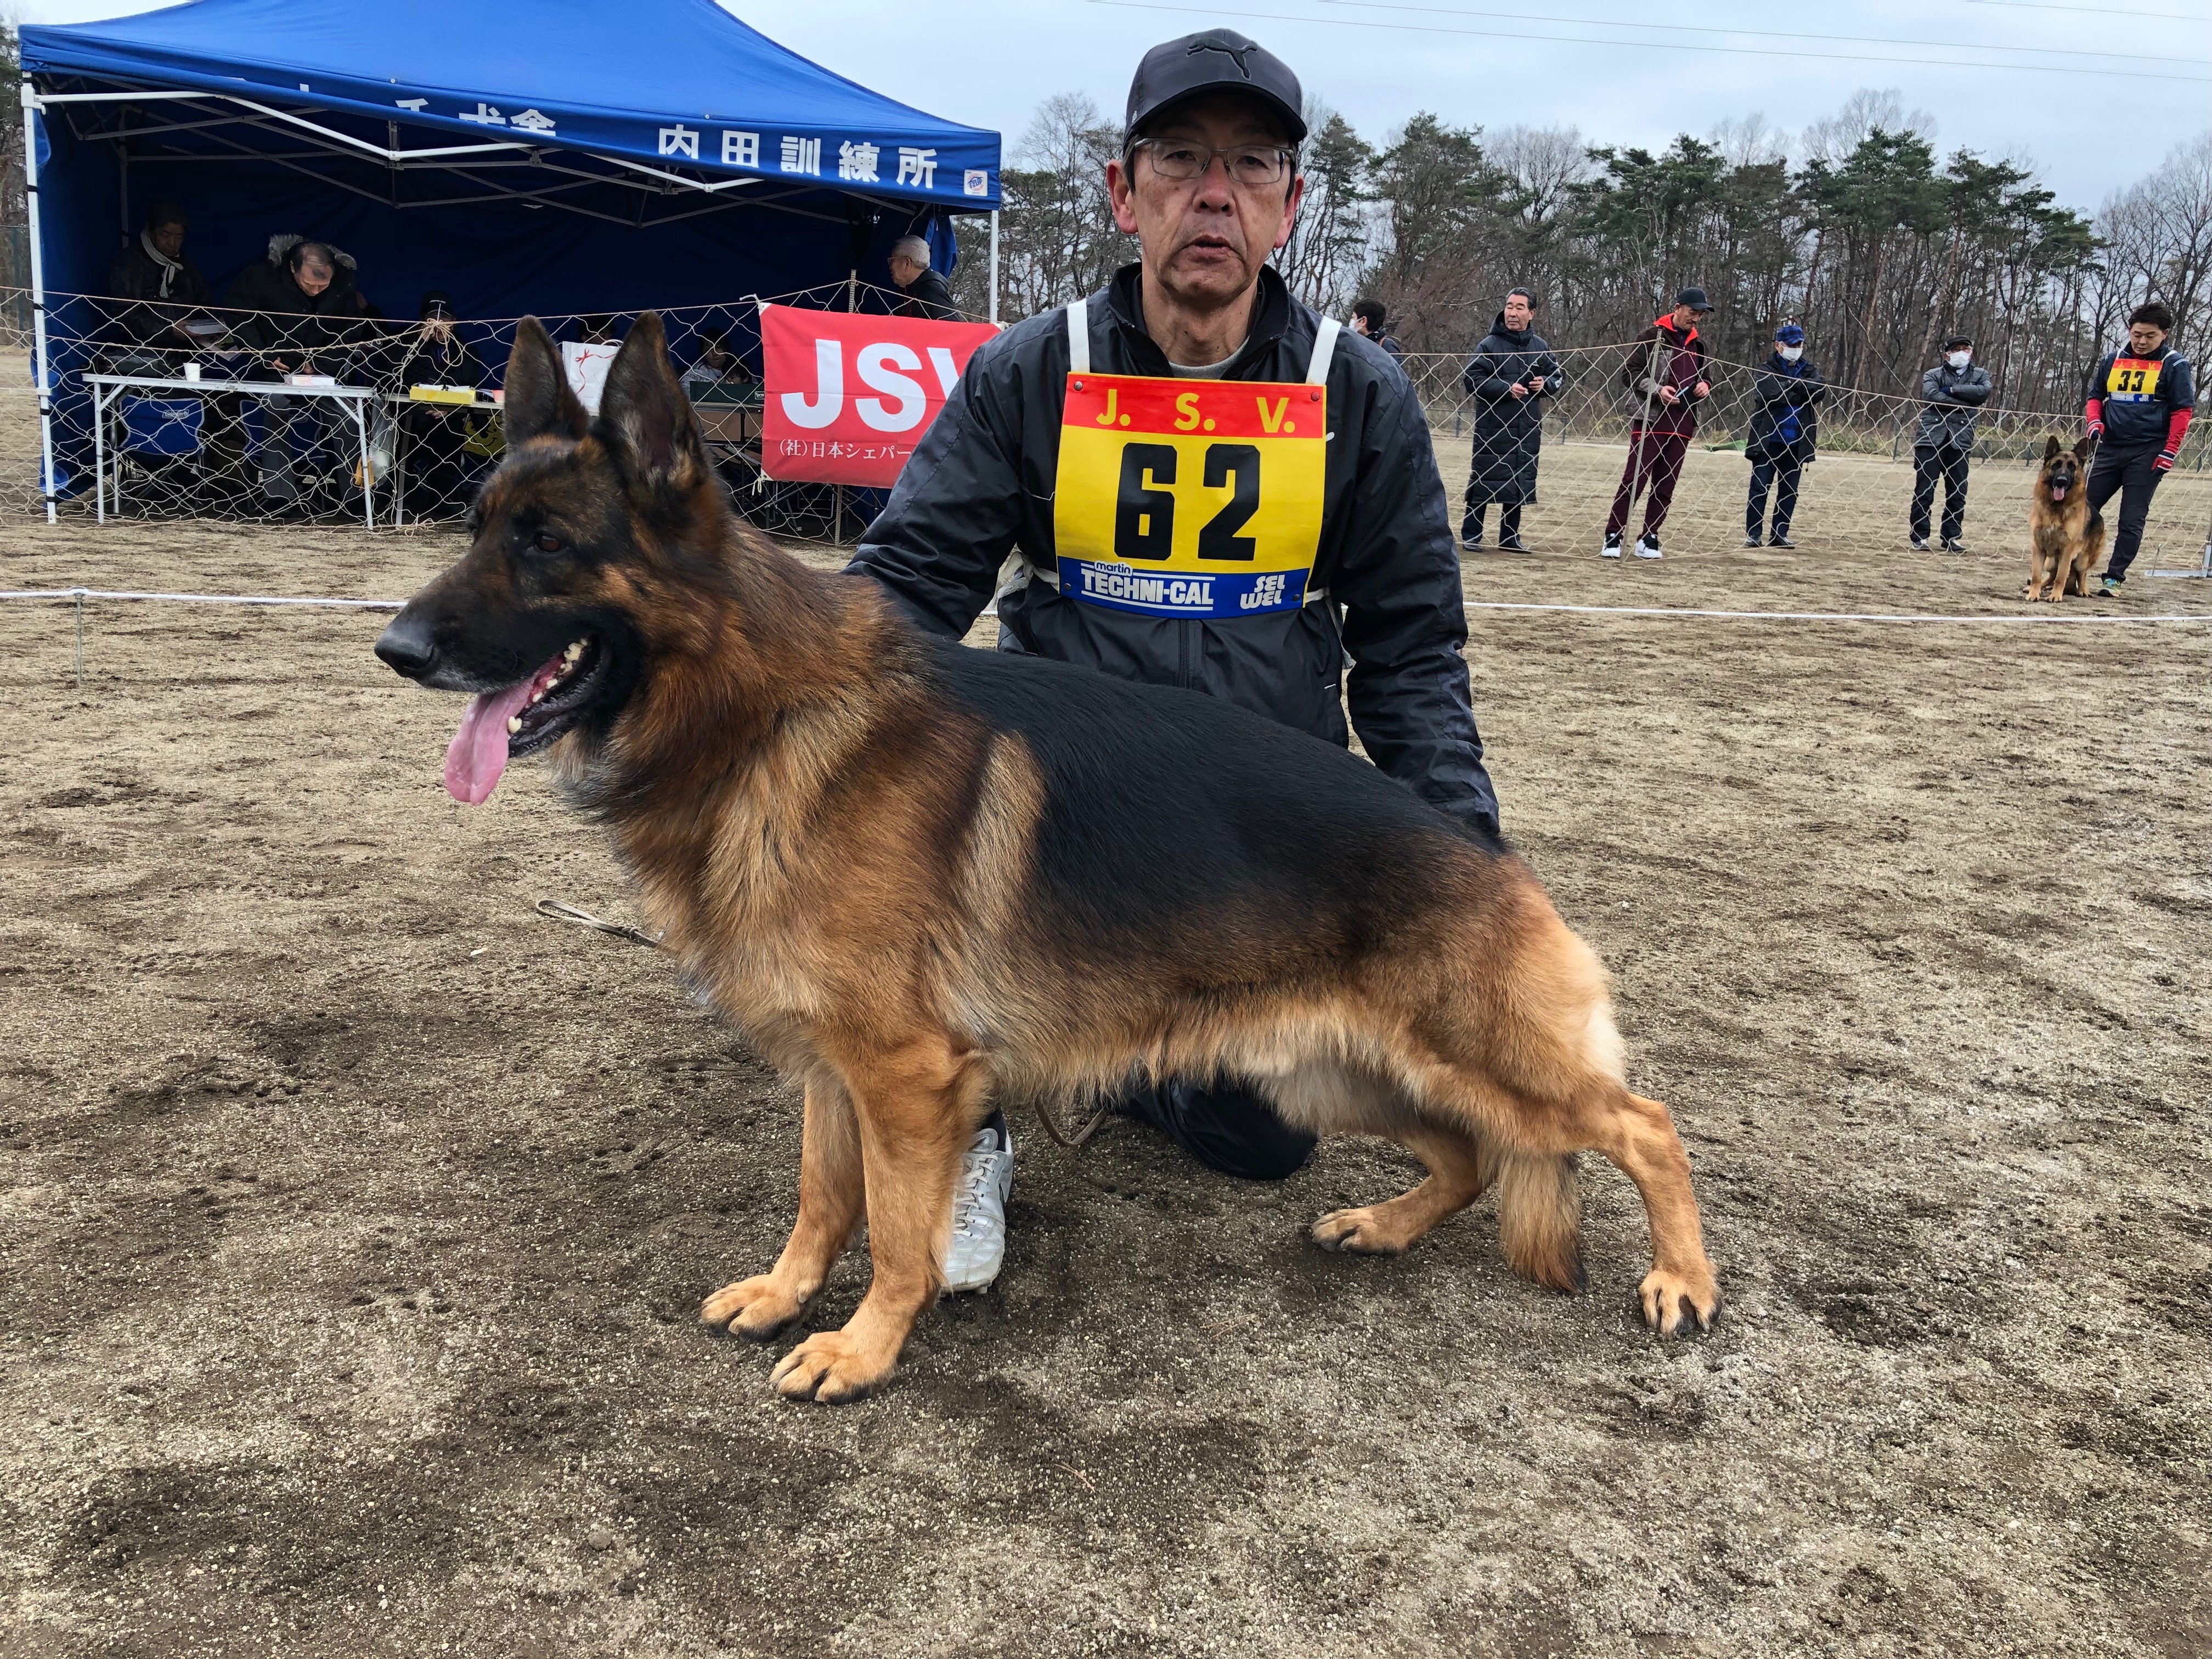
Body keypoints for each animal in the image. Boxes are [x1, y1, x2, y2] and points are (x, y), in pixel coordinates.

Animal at [376, 312, 1725, 1407]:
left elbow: (899, 1232)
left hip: (1478, 1061)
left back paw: (1683, 1278)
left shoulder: (905, 1074)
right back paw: (1383, 1226)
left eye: (548, 543)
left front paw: (864, 1346)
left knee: (1643, 1124)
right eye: (477, 528)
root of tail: (1491, 856)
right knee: (1470, 1157)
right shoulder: (832, 1063)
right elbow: (822, 1195)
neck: (763, 714)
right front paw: (784, 1291)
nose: (395, 648)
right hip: (1332, 1075)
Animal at [2026, 436, 2106, 606]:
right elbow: (2036, 575)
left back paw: (2083, 591)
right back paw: (2038, 587)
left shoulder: (2066, 551)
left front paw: (2056, 596)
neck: (2056, 507)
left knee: (2082, 575)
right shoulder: (2038, 547)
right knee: (2050, 576)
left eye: (2072, 467)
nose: (2062, 480)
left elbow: (2061, 577)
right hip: (2050, 562)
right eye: (2056, 465)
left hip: (2082, 560)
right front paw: (2034, 593)